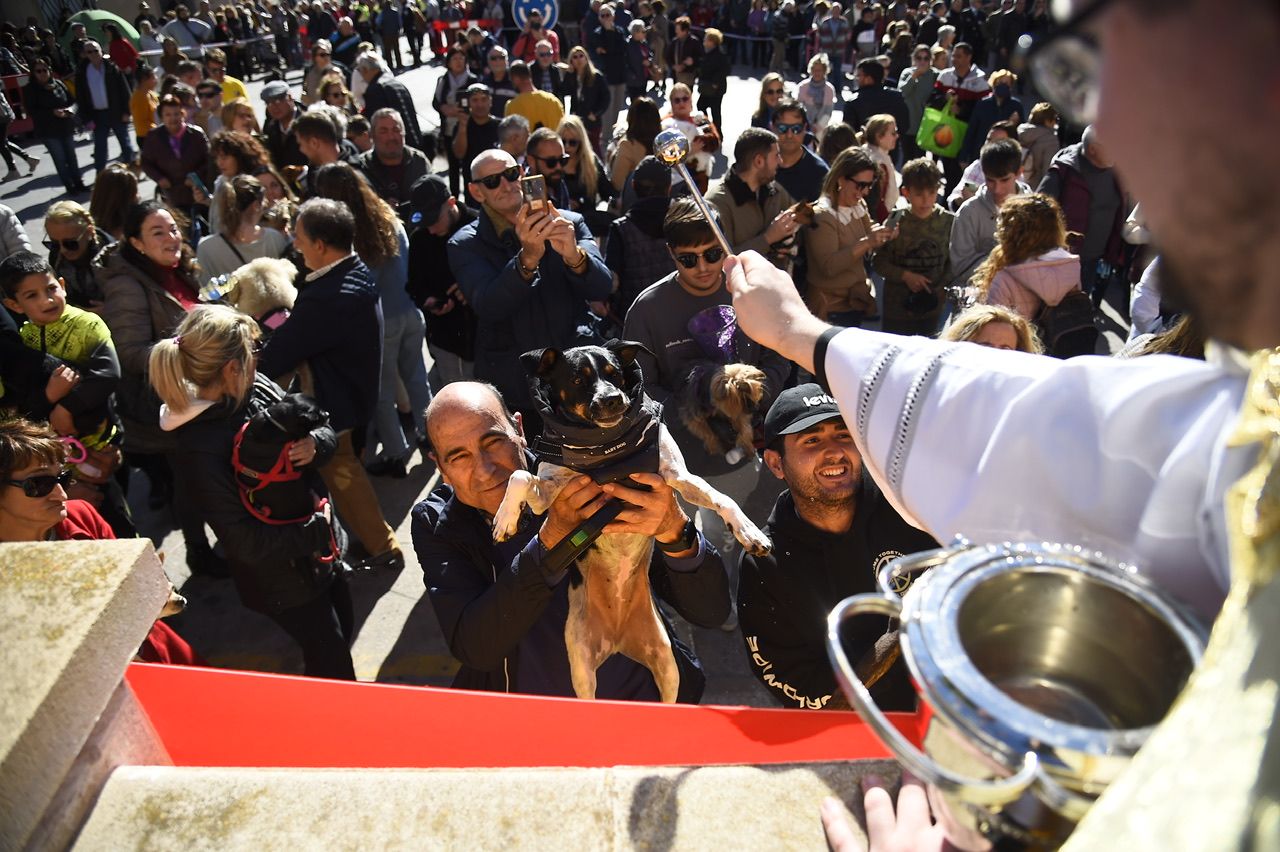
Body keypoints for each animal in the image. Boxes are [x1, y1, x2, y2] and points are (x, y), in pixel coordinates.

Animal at [488, 342, 768, 701]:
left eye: (615, 373)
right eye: (577, 379)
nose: (612, 399)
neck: (607, 451)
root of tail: (618, 638)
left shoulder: (679, 477)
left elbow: (724, 499)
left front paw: (750, 532)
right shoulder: (549, 496)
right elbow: (519, 475)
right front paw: (504, 520)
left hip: (666, 663)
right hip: (582, 668)